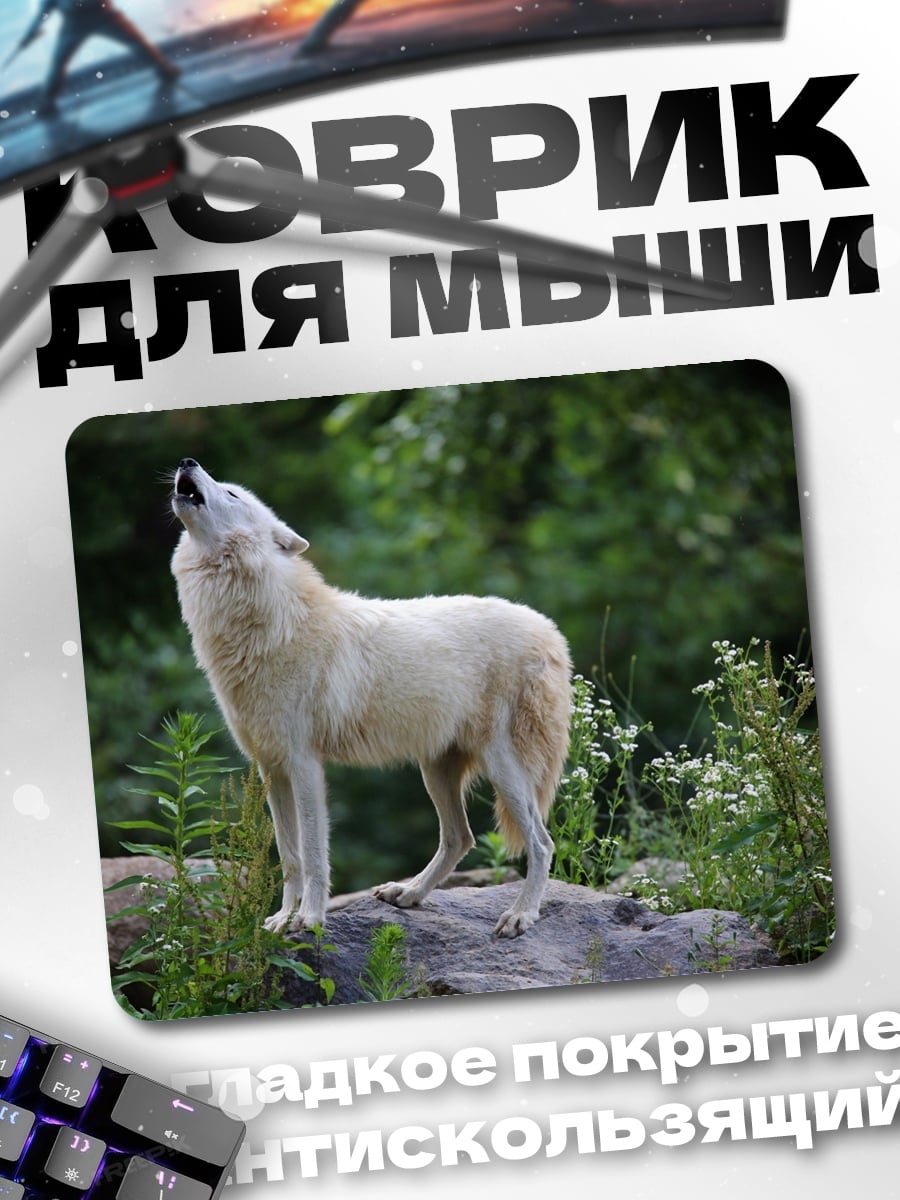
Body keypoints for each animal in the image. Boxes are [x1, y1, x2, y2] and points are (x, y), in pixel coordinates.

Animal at [170, 458, 572, 937]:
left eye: (232, 494)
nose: (188, 462)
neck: (269, 622)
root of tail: (550, 631)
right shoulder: (271, 768)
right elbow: (289, 858)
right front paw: (282, 920)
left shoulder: (305, 765)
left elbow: (314, 855)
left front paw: (310, 919)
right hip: (435, 769)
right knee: (461, 837)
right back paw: (409, 893)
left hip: (503, 768)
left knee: (541, 843)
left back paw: (521, 915)